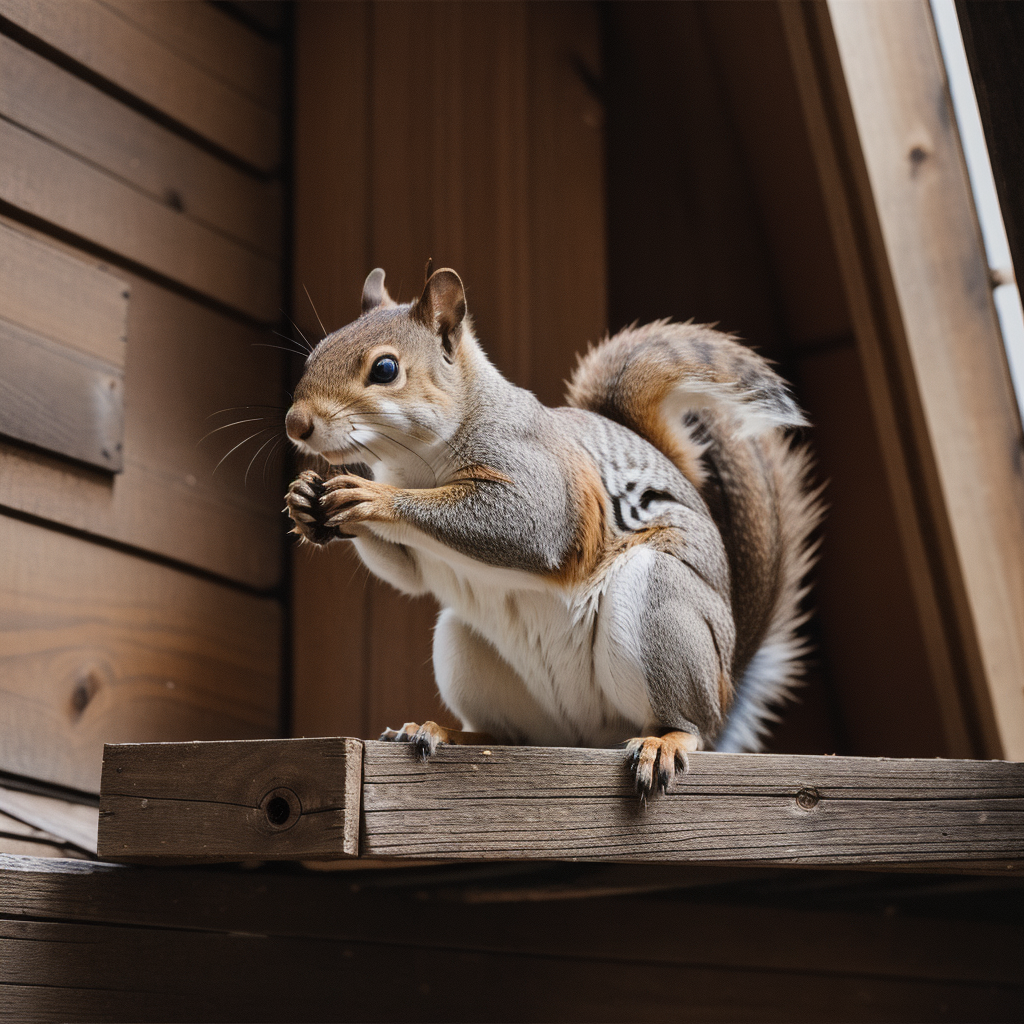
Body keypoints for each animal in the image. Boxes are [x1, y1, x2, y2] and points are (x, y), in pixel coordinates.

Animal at [284, 265, 822, 797]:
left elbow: (528, 525)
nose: (295, 424)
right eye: (315, 354)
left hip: (663, 610)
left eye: (385, 369)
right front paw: (305, 500)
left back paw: (666, 740)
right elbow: (408, 573)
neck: (415, 462)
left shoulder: (538, 478)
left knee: (693, 725)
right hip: (466, 647)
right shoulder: (419, 555)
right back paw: (446, 732)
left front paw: (372, 498)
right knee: (510, 735)